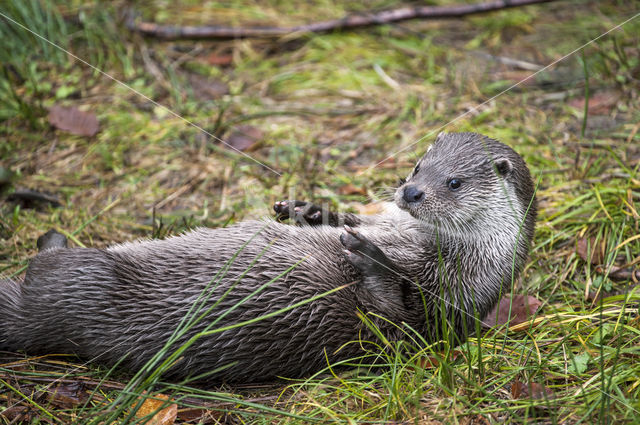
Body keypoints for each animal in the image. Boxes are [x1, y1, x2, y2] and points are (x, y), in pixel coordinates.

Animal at [0, 132, 536, 380]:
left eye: (454, 182)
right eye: (419, 165)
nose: (410, 192)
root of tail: (32, 319)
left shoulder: (447, 308)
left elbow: (394, 316)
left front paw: (365, 253)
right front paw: (308, 211)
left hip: (85, 276)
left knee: (42, 268)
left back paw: (52, 240)